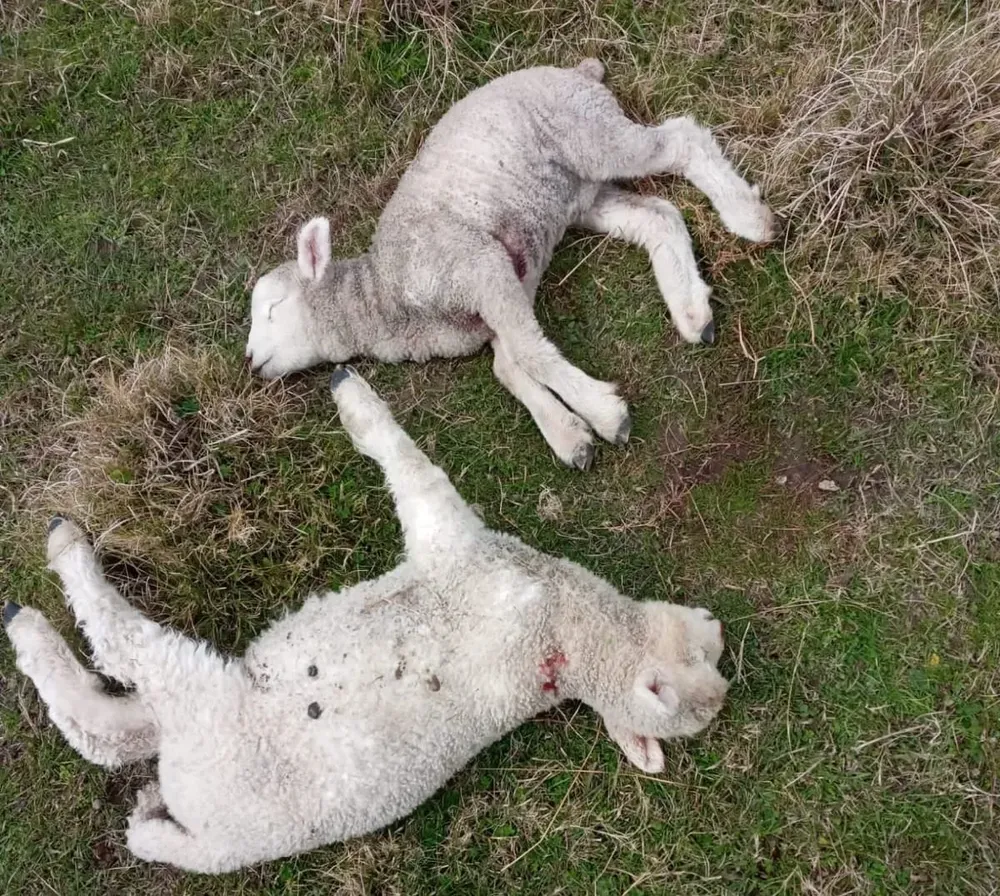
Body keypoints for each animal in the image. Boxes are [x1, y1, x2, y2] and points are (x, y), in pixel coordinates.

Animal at [3, 368, 729, 874]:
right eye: (708, 657)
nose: (720, 629)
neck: (564, 639)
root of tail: (202, 831)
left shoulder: (461, 551)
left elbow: (412, 469)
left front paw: (351, 397)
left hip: (208, 713)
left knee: (120, 669)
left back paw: (46, 582)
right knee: (110, 727)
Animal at [246, 58, 782, 470]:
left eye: (272, 308)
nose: (251, 362)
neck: (387, 297)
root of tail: (578, 70)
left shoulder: (476, 264)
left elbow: (529, 353)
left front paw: (606, 415)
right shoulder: (500, 291)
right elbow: (510, 363)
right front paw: (570, 435)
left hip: (591, 132)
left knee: (680, 139)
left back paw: (748, 217)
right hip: (581, 195)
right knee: (659, 217)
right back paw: (692, 311)